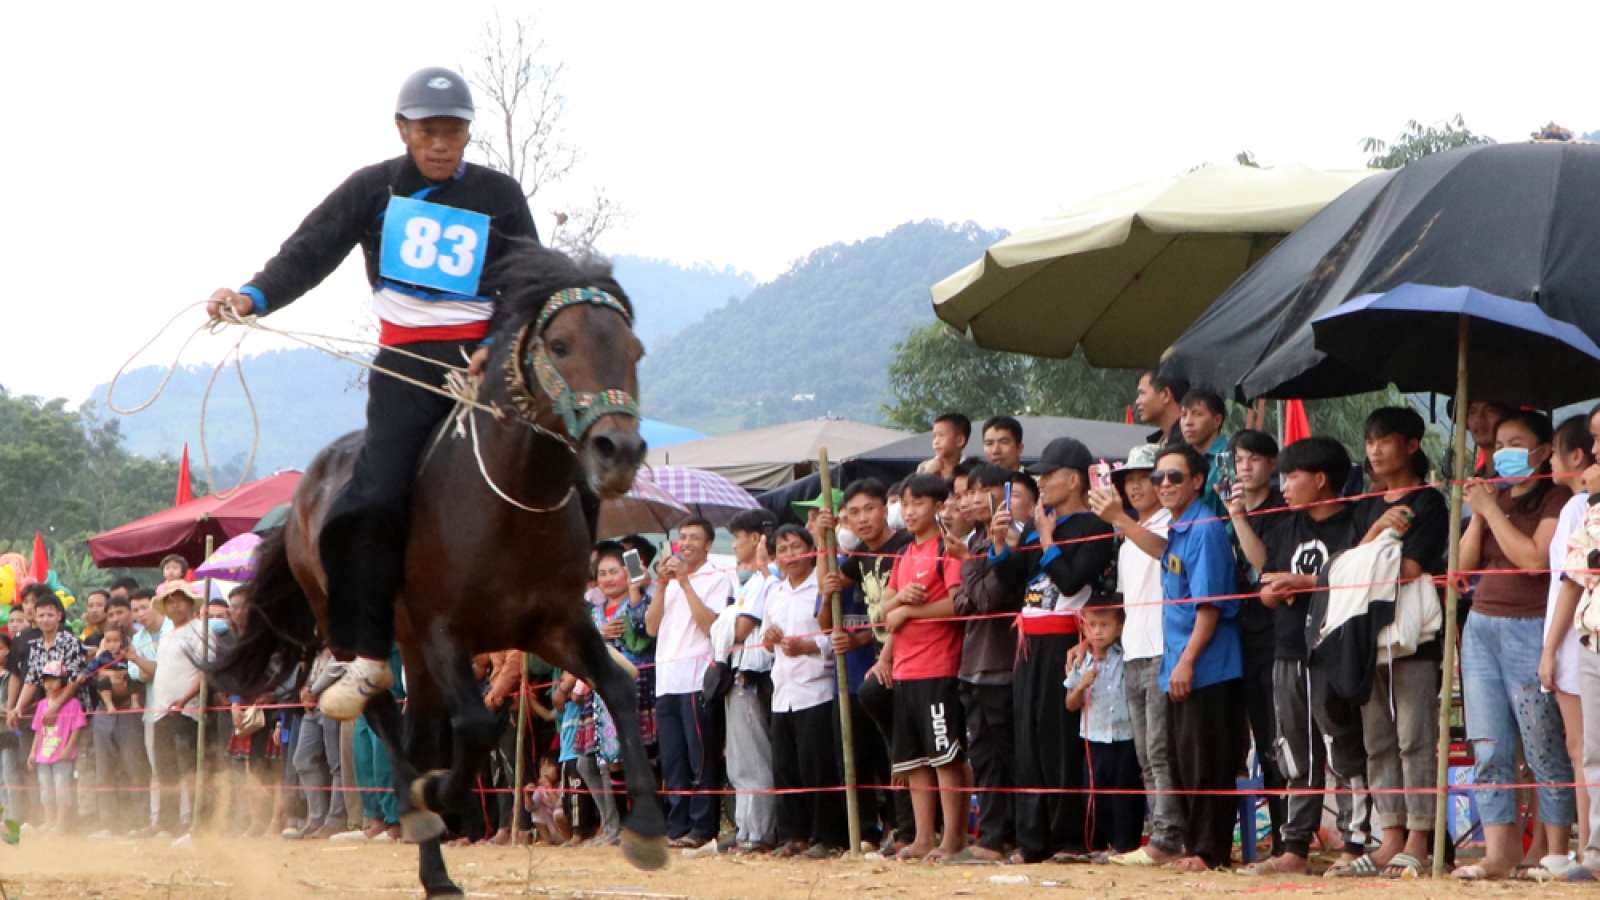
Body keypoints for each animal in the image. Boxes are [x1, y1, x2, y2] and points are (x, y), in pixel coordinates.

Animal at [216, 241, 665, 890]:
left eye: (634, 351)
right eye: (560, 345)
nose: (619, 451)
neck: (509, 502)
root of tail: (306, 486)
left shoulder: (555, 627)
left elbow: (621, 688)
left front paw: (647, 831)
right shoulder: (443, 631)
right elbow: (475, 727)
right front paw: (435, 797)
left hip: (416, 656)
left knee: (418, 731)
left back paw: (435, 867)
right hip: (356, 626)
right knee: (382, 709)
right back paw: (420, 814)